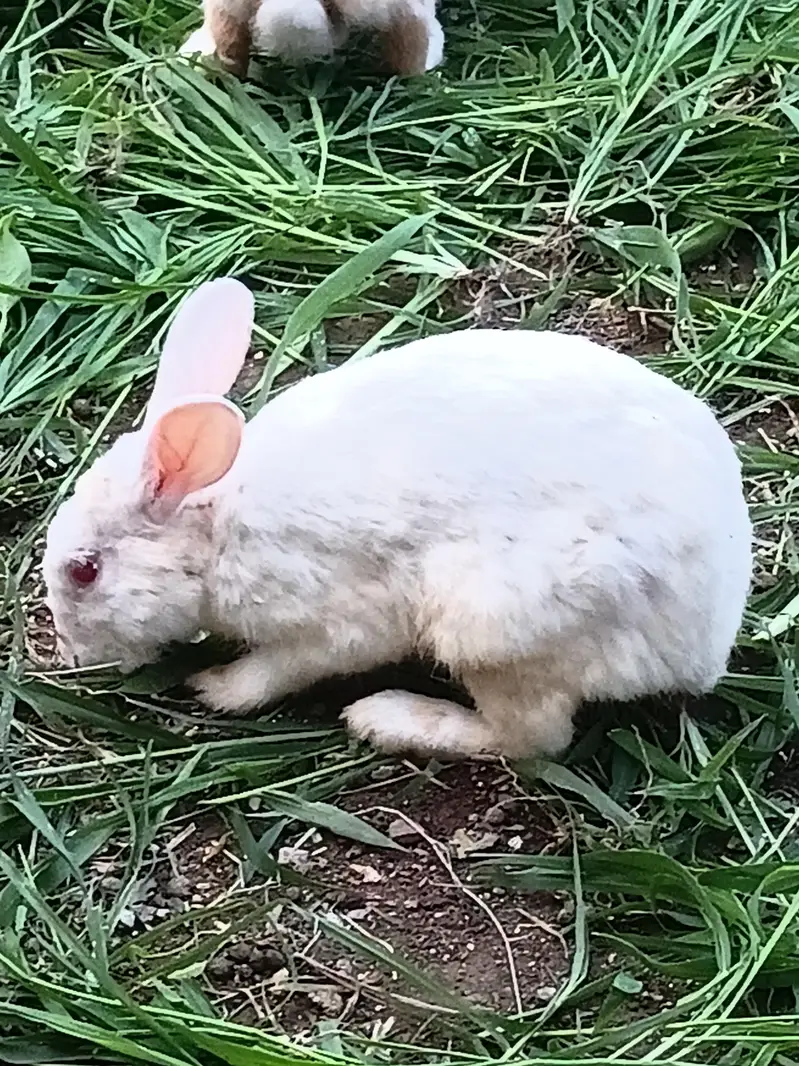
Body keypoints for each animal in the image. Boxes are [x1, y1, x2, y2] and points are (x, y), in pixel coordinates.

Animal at [43, 278, 752, 761]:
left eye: (84, 571)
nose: (74, 654)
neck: (216, 526)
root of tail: (702, 648)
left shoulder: (334, 623)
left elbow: (279, 670)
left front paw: (215, 687)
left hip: (493, 627)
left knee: (531, 739)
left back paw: (388, 718)